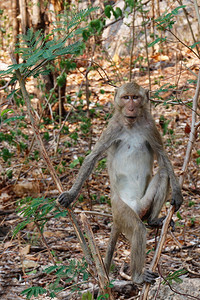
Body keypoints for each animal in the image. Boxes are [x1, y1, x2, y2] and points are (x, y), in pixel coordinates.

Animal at [57, 81, 183, 284]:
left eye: (135, 98)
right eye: (126, 98)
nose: (131, 107)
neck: (131, 124)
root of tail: (136, 209)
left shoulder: (150, 127)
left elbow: (163, 157)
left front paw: (178, 195)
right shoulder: (113, 128)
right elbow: (92, 158)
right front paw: (70, 195)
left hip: (143, 204)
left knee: (163, 174)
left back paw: (153, 220)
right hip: (120, 210)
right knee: (137, 229)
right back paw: (137, 277)